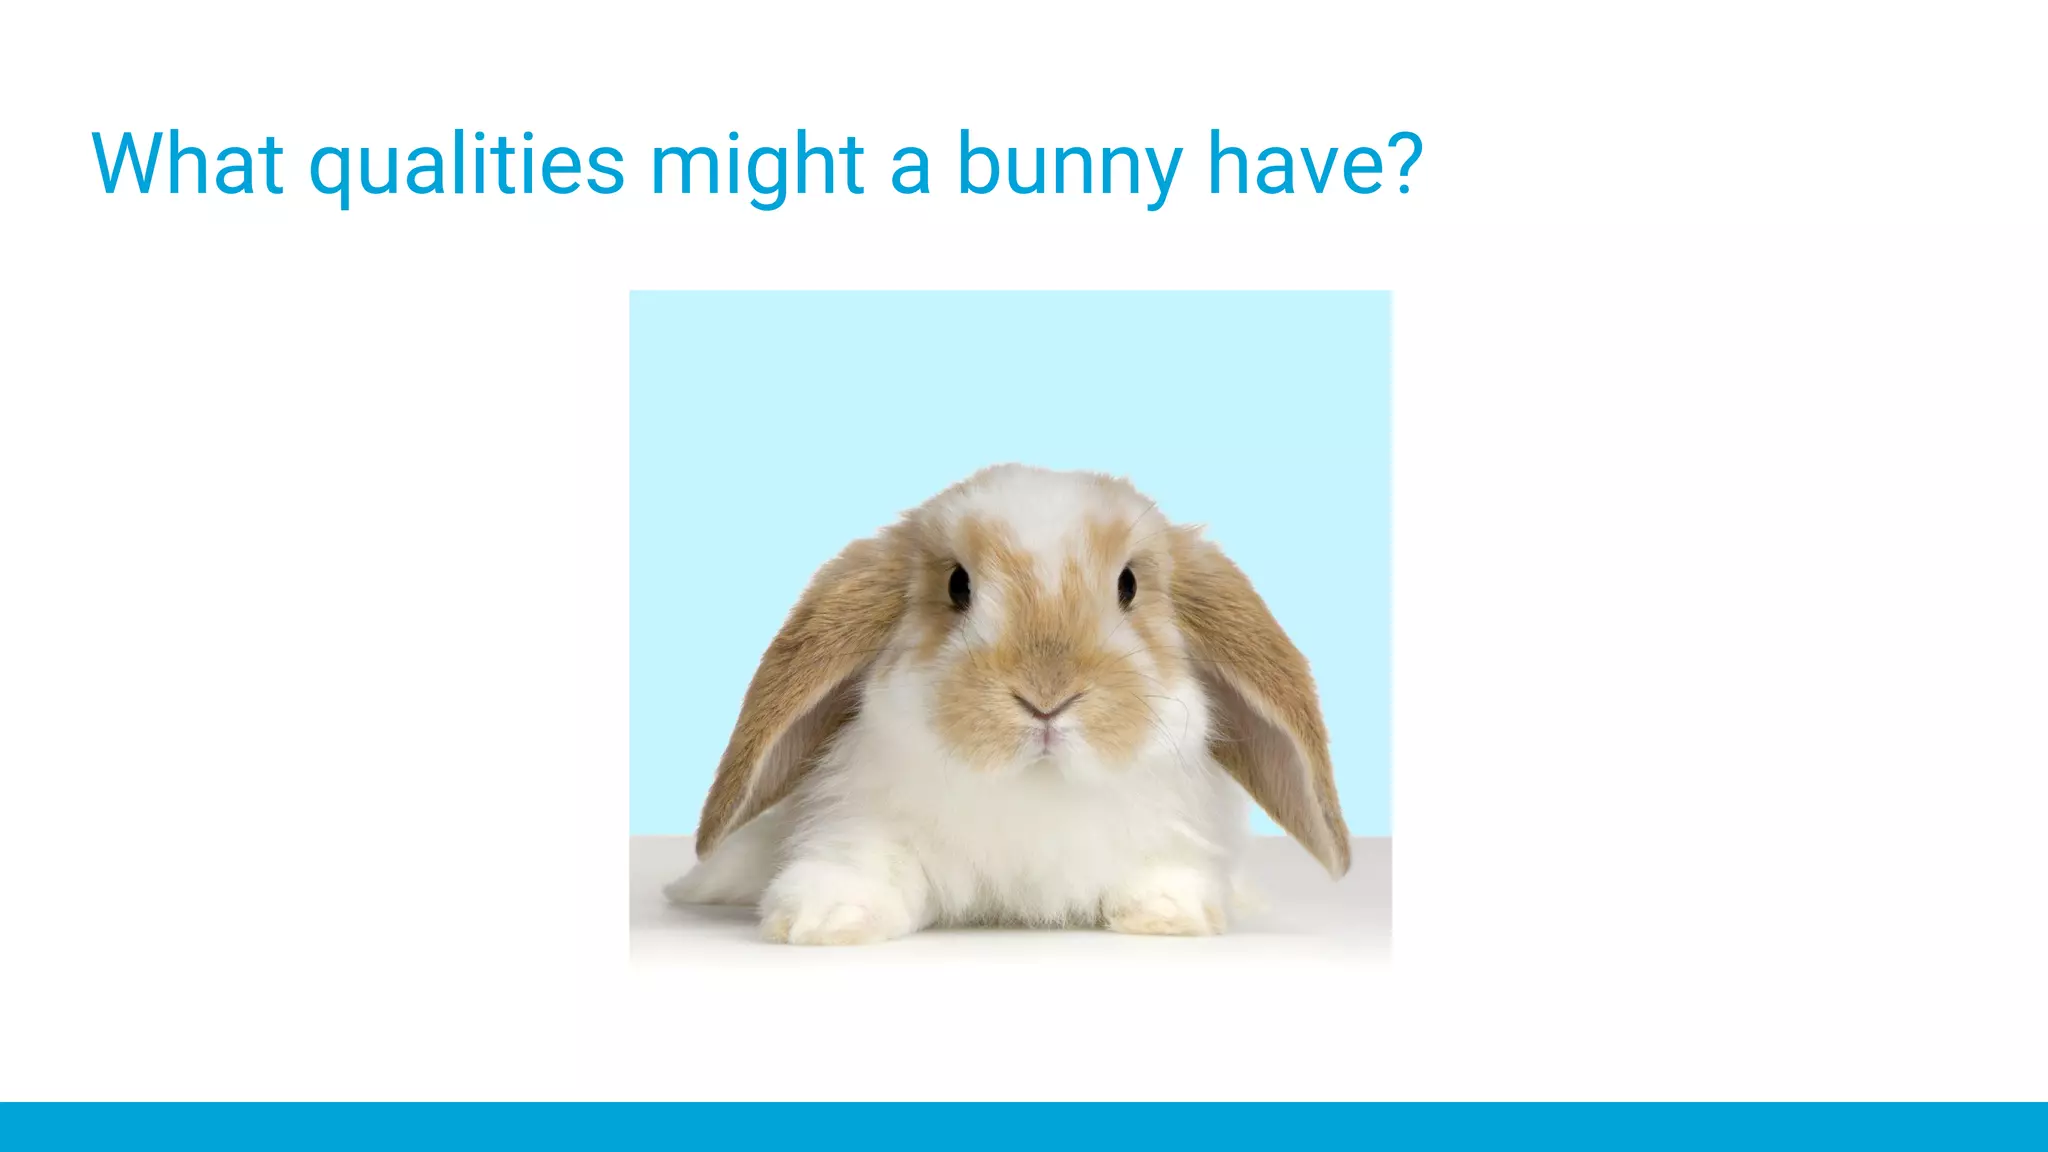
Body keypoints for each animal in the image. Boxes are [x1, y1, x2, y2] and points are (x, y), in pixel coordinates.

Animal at [662, 464, 1349, 944]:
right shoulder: (862, 821)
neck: (1034, 788)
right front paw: (826, 919)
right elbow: (860, 865)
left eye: (1128, 585)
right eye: (957, 584)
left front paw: (1169, 913)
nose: (1046, 697)